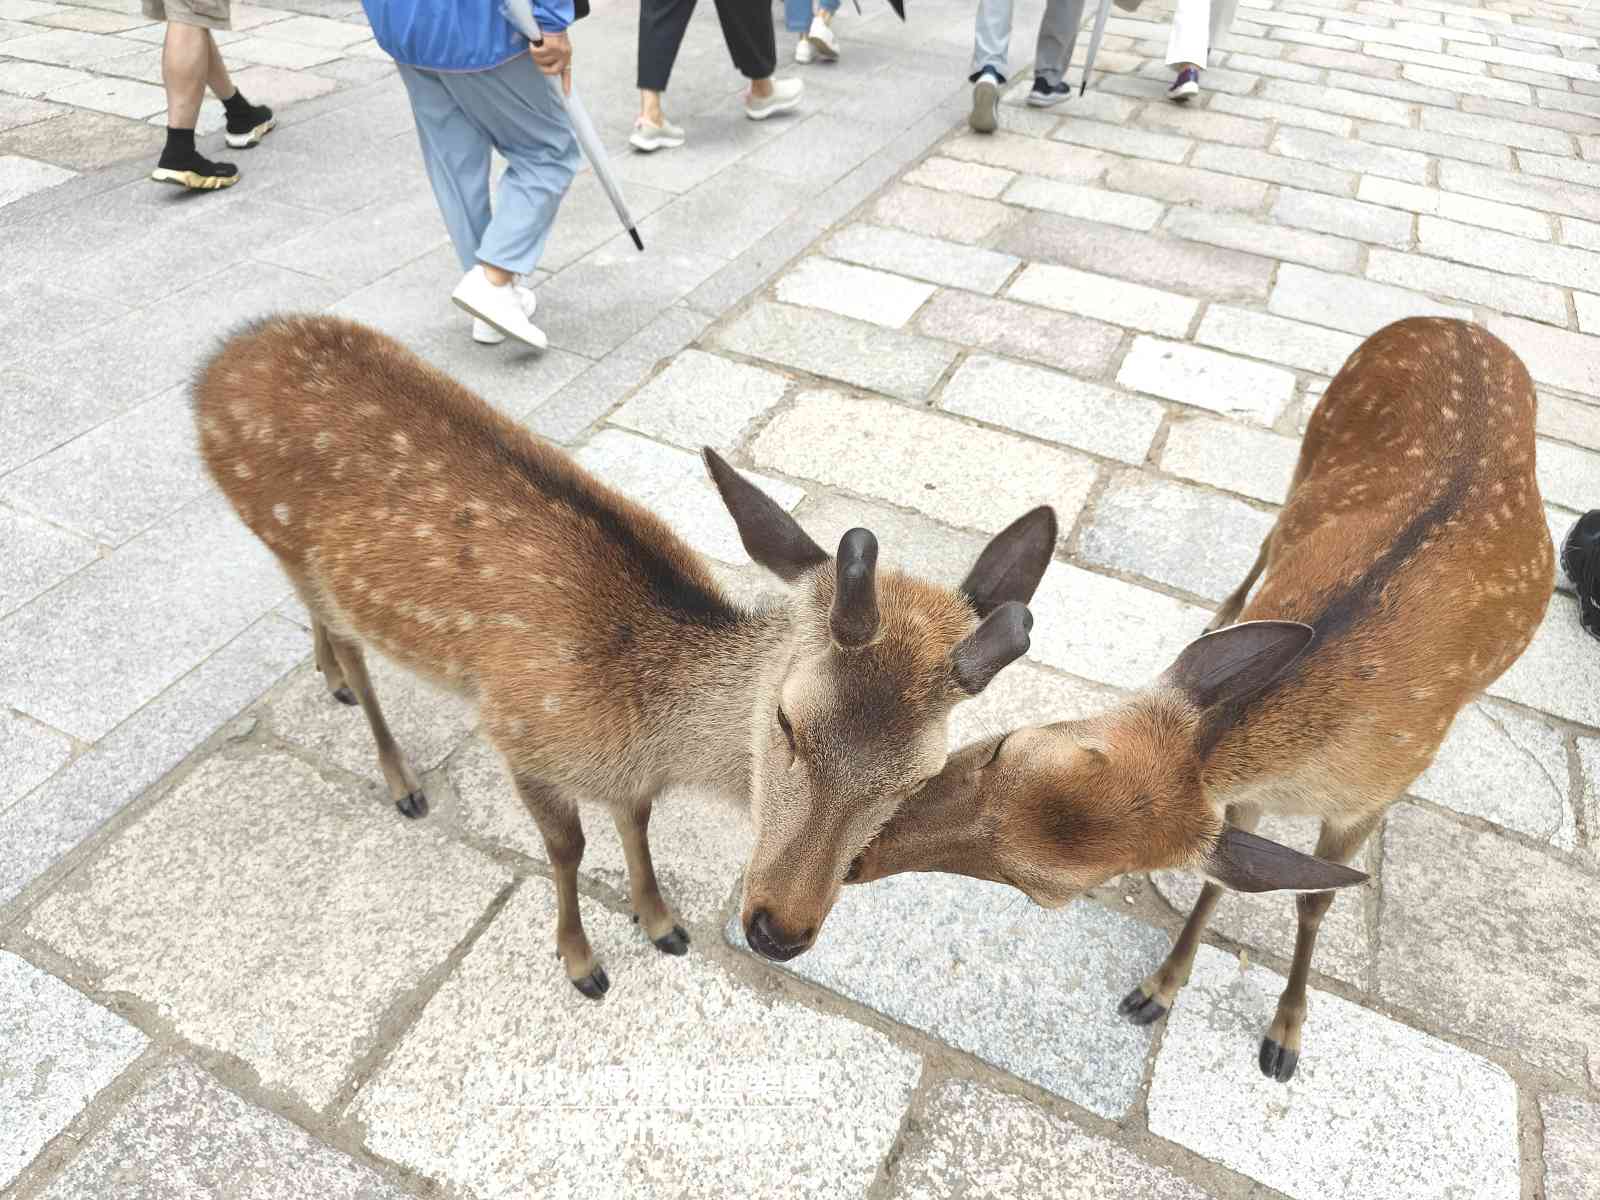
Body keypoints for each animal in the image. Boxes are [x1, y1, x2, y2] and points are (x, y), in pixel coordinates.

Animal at [193, 315, 1056, 998]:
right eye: (786, 721)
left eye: (922, 777)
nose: (777, 929)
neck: (644, 717)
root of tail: (214, 368)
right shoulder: (520, 729)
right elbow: (568, 849)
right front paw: (582, 963)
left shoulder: (627, 775)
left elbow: (635, 821)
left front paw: (661, 921)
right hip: (281, 533)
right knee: (348, 639)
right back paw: (397, 773)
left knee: (319, 623)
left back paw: (330, 679)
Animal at [857, 316, 1555, 1081]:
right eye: (1007, 744)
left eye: (1042, 890)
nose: (854, 858)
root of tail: (1457, 323)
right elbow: (1222, 880)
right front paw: (1158, 990)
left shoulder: (1370, 799)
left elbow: (1312, 899)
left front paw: (1283, 1037)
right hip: (1310, 449)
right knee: (1269, 537)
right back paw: (1220, 617)